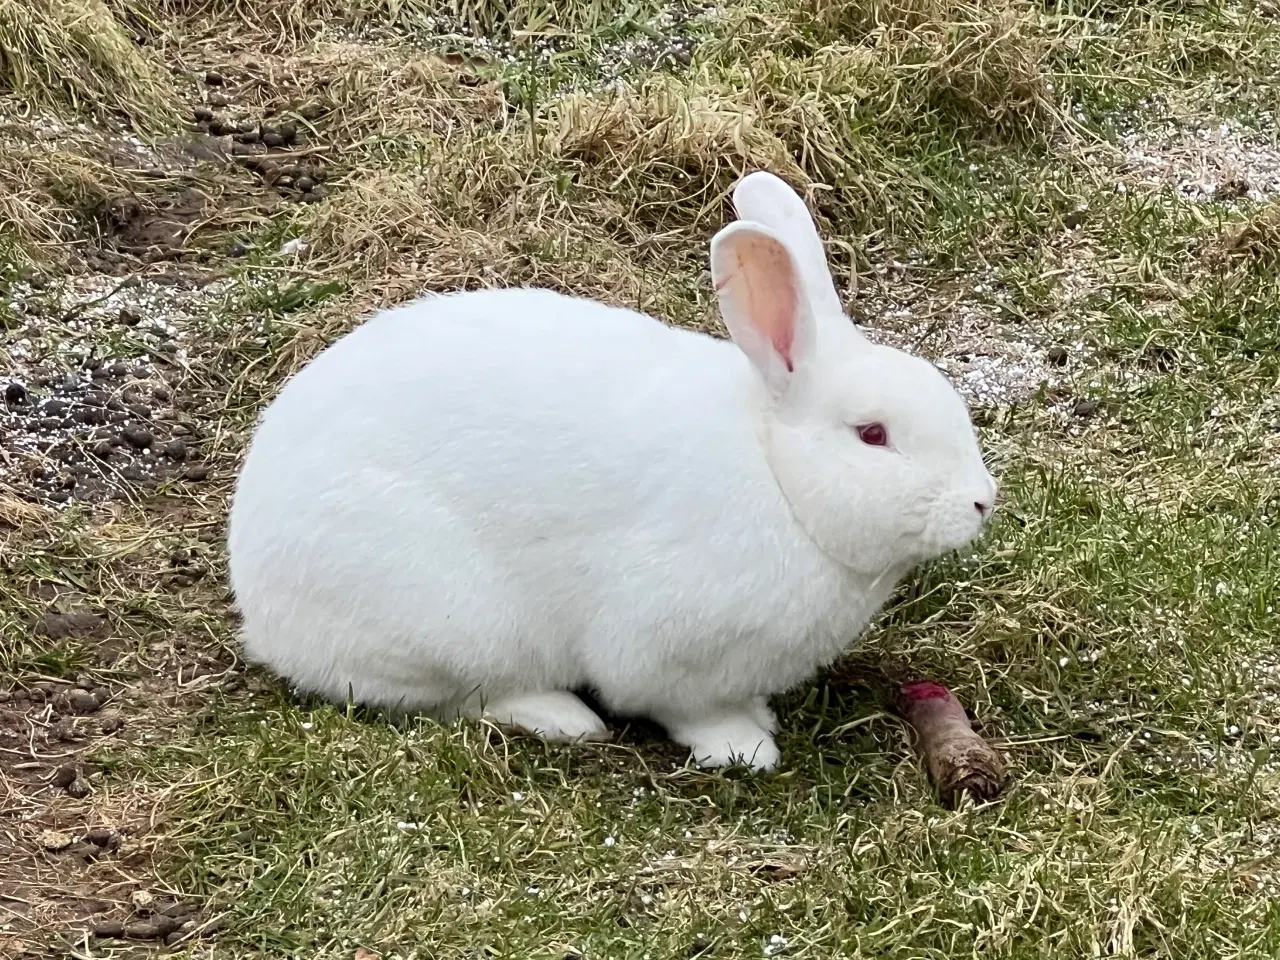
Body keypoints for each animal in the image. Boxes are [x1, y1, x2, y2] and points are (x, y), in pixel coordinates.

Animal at [225, 171, 993, 773]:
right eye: (873, 435)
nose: (982, 502)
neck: (779, 474)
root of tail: (262, 611)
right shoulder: (666, 648)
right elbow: (683, 706)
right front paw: (744, 746)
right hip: (448, 619)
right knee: (468, 695)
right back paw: (566, 719)